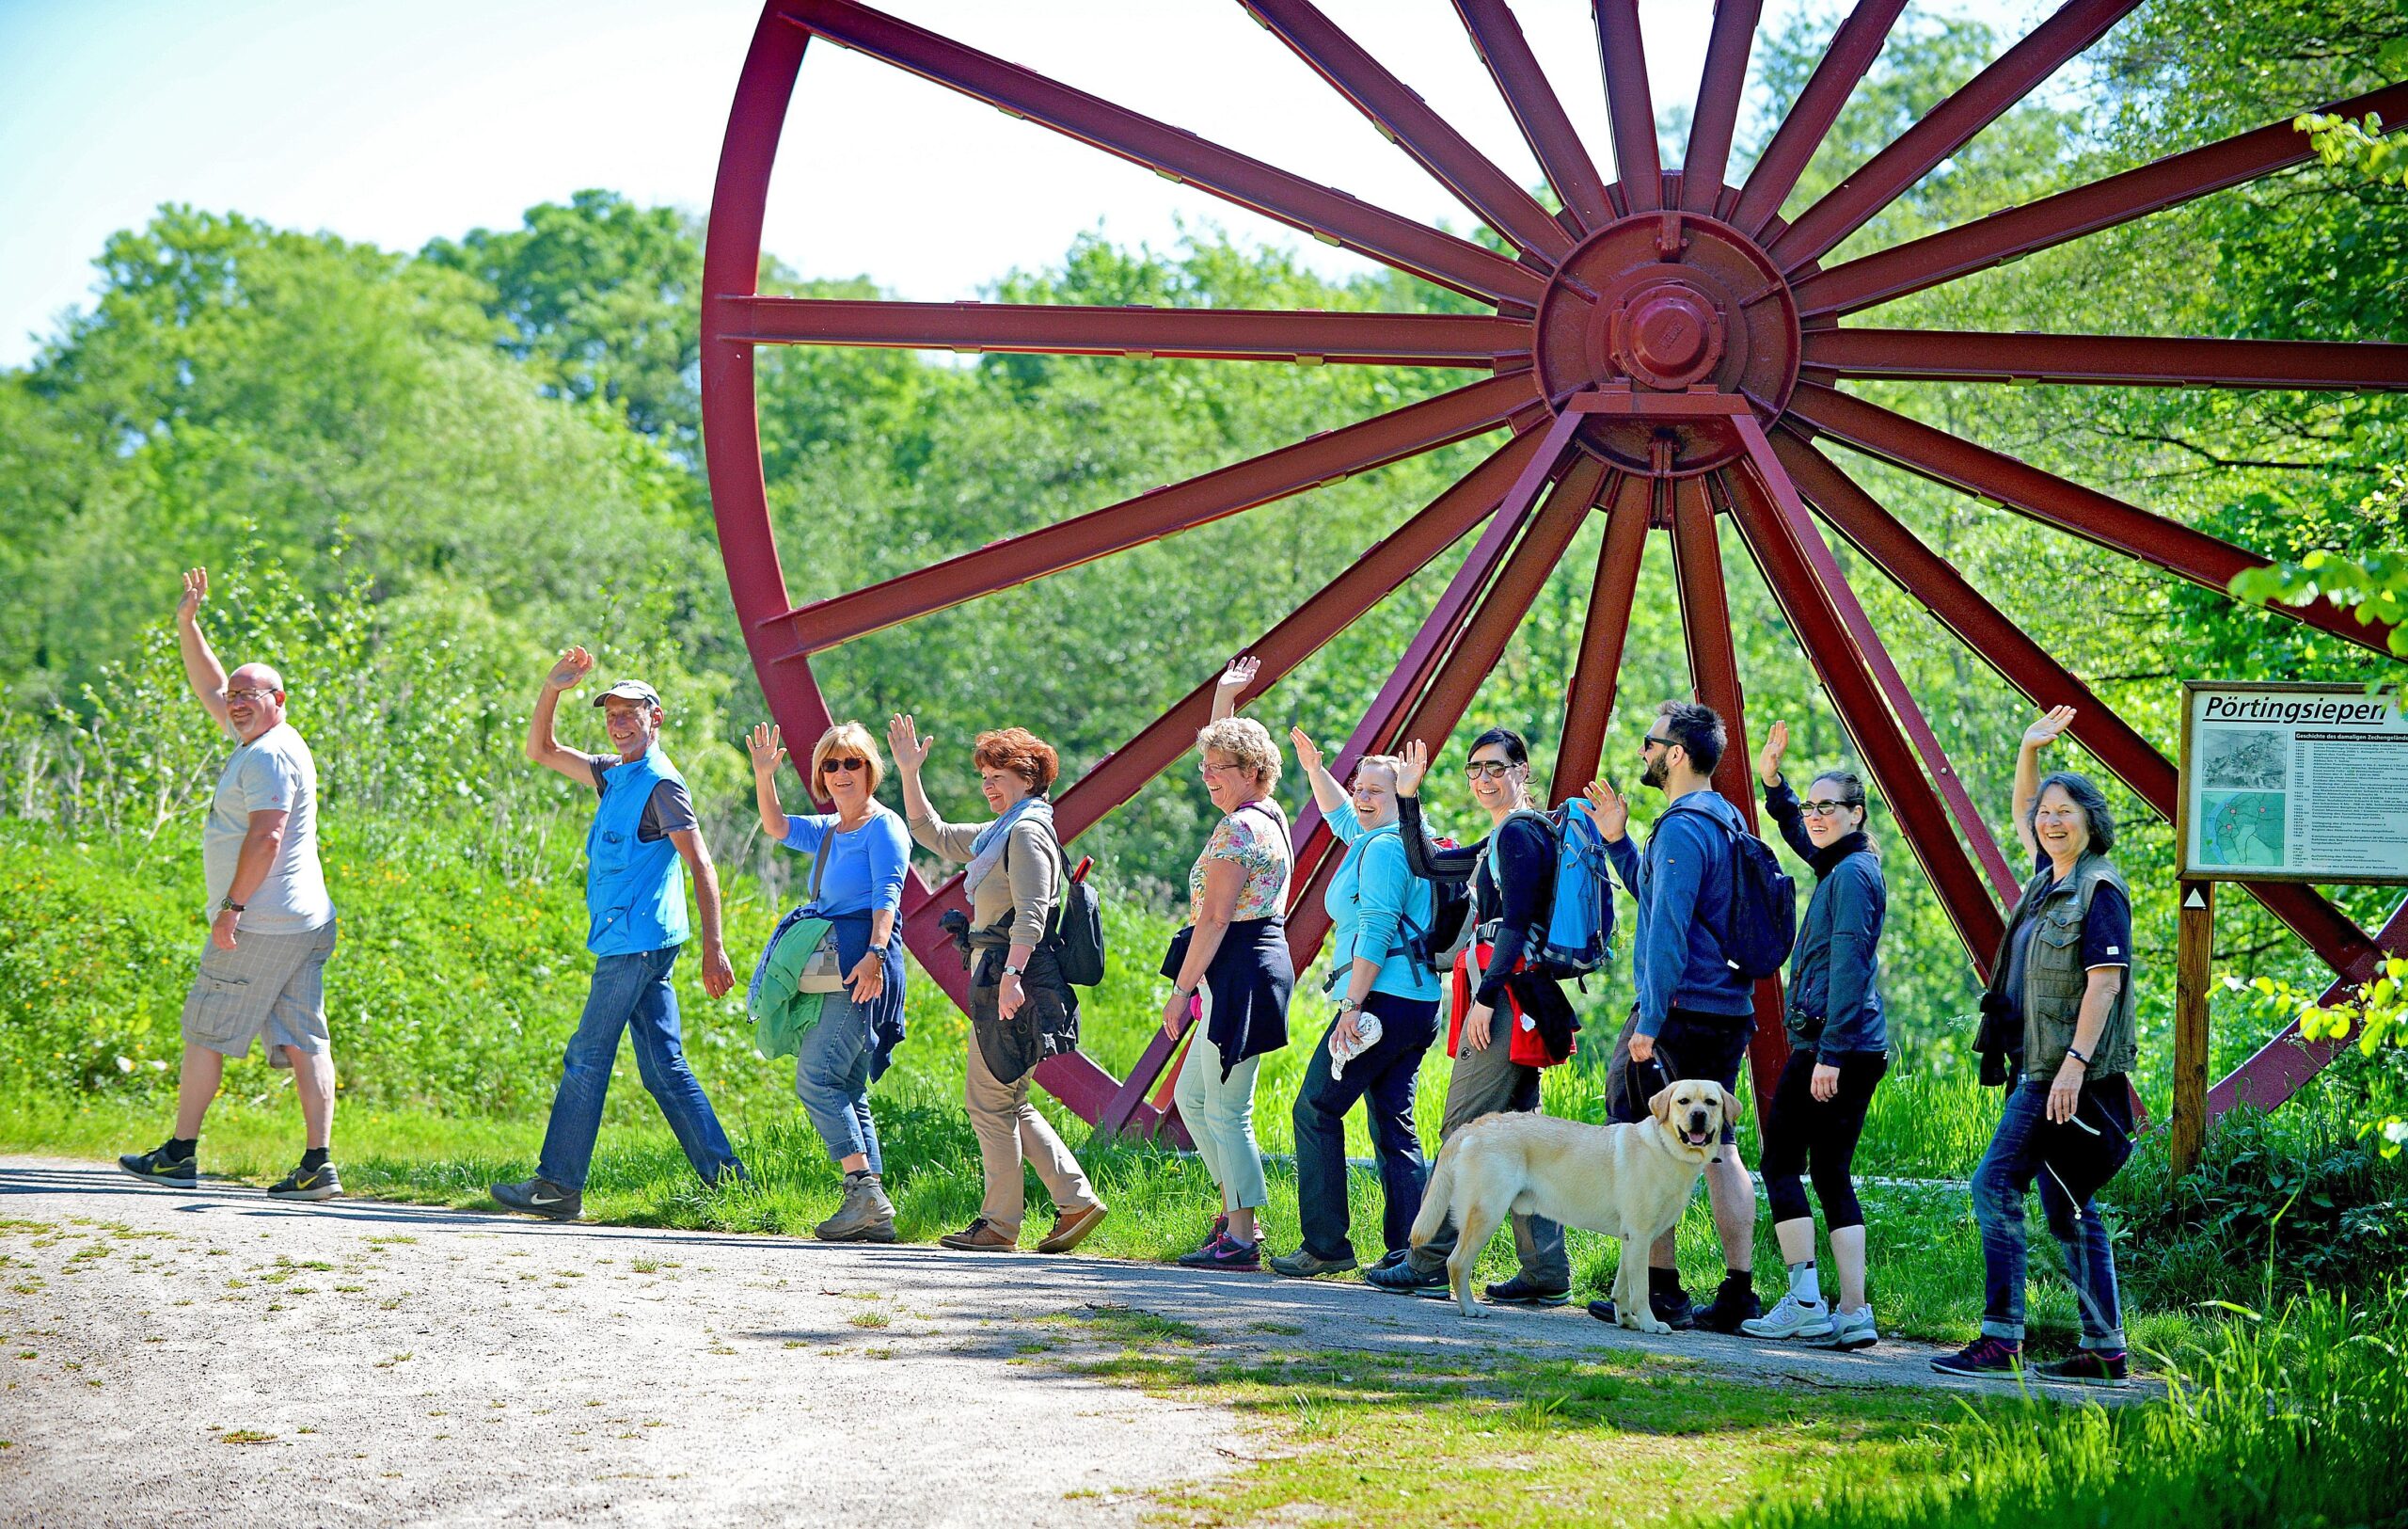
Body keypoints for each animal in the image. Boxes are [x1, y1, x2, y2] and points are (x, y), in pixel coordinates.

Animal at [1406, 1083, 1734, 1338]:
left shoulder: (1632, 1239)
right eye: (1683, 1101)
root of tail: (1476, 1125)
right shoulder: (1640, 1237)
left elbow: (1622, 1286)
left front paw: (1626, 1320)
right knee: (1456, 1262)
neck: (1667, 1149)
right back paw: (1470, 1308)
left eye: (1711, 1102)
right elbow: (1640, 1290)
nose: (1699, 1116)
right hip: (1487, 1213)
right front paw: (1650, 1323)